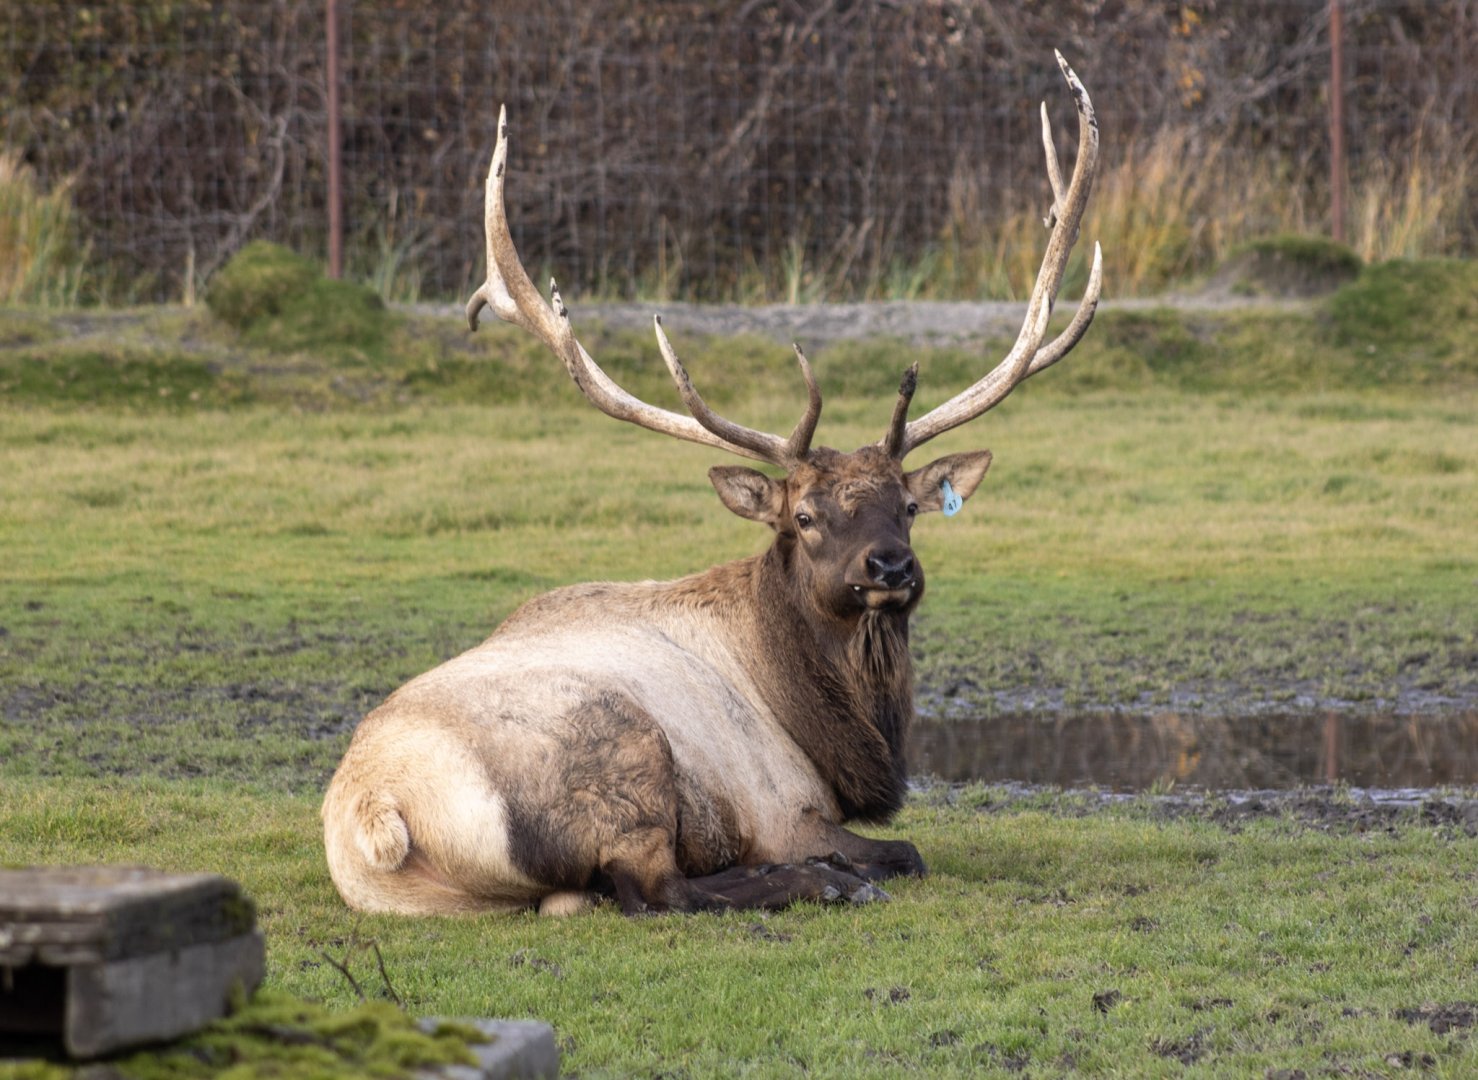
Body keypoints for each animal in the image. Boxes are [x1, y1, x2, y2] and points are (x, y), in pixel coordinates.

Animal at [322, 51, 1101, 916]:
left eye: (907, 507)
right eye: (804, 516)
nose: (890, 567)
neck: (829, 727)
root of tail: (377, 814)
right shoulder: (779, 808)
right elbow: (907, 849)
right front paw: (844, 867)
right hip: (621, 746)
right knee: (654, 887)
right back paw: (823, 882)